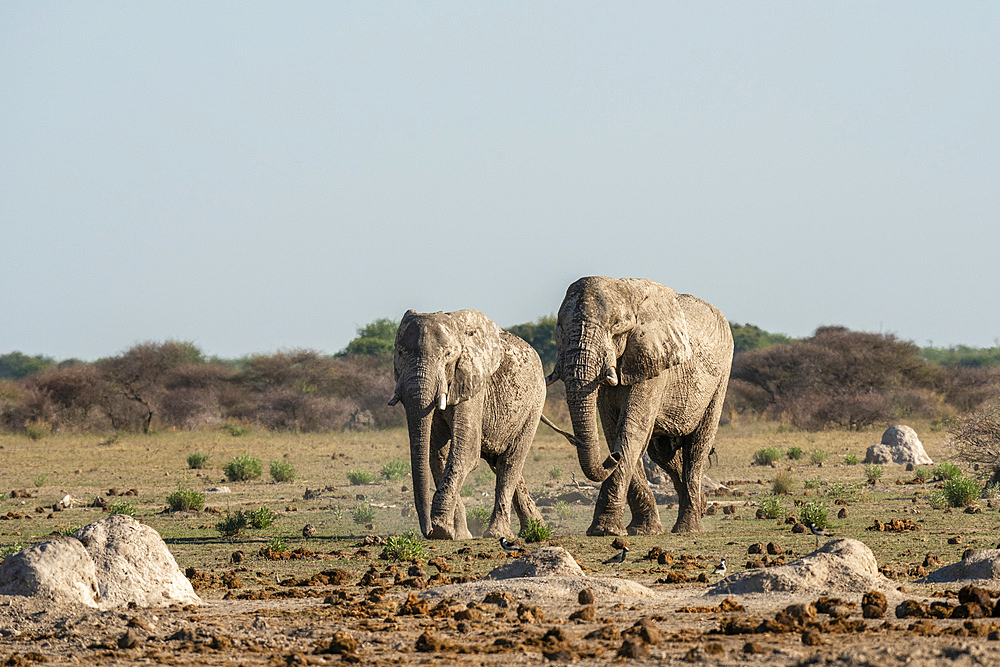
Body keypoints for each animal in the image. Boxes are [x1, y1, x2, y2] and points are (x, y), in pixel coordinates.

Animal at [392, 310, 548, 540]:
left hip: (534, 403)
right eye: (401, 353)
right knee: (499, 461)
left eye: (448, 355)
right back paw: (536, 528)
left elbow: (466, 452)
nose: (427, 531)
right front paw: (457, 534)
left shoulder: (473, 386)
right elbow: (437, 453)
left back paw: (498, 533)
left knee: (510, 461)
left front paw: (441, 529)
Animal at [548, 274, 736, 536]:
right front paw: (642, 530)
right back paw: (700, 507)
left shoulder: (653, 362)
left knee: (697, 448)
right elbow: (613, 429)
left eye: (616, 326)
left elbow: (631, 430)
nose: (612, 457)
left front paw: (605, 530)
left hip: (721, 379)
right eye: (560, 328)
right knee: (664, 454)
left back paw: (688, 528)